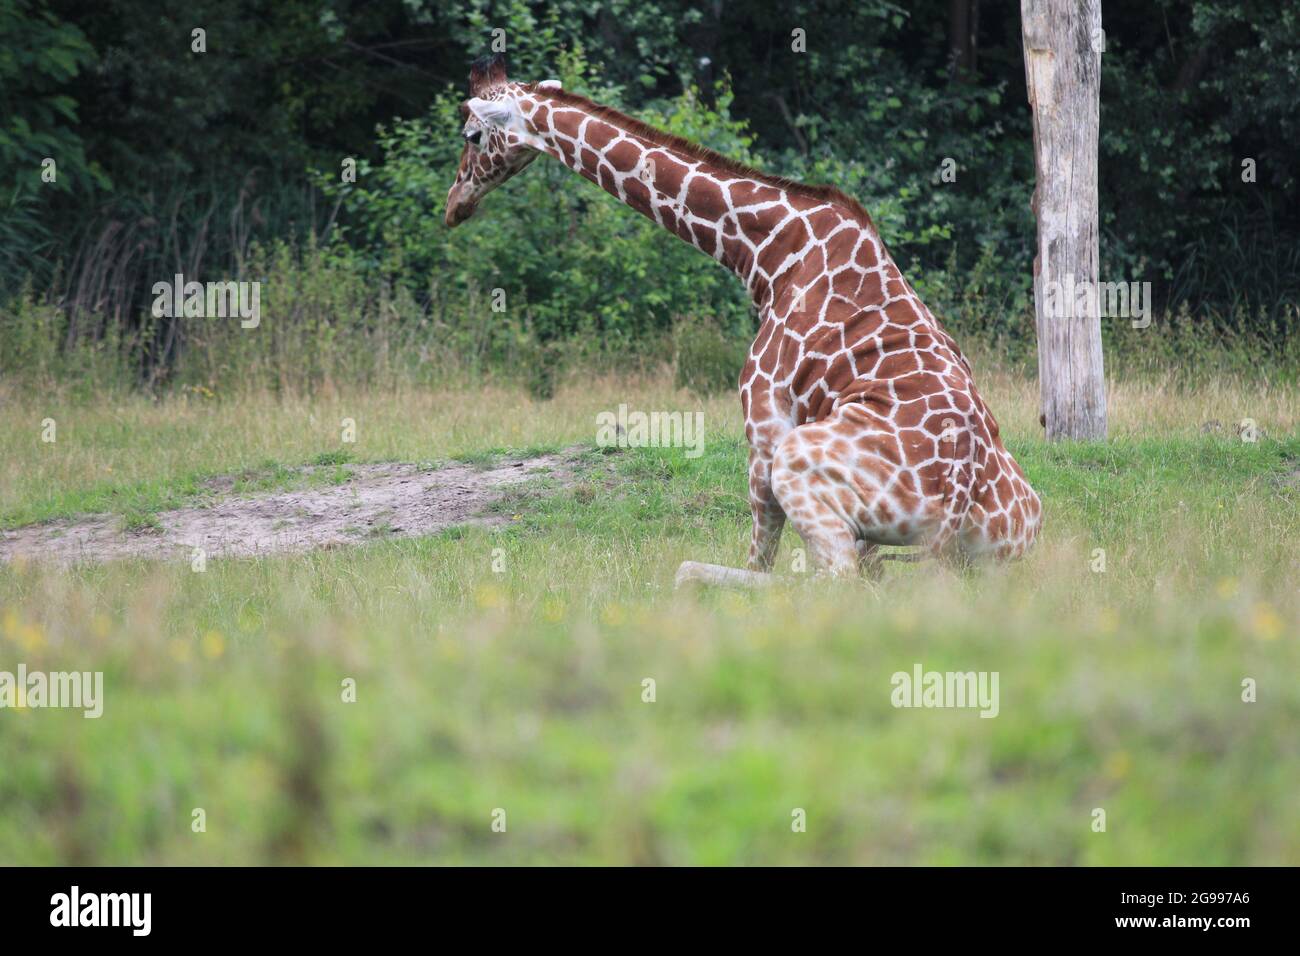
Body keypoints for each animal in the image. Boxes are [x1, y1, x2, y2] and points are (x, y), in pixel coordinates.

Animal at [441, 57, 1040, 590]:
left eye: (472, 134)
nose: (452, 206)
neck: (769, 252)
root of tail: (956, 497)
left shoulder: (765, 426)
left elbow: (758, 557)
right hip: (1018, 527)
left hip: (798, 462)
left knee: (827, 582)